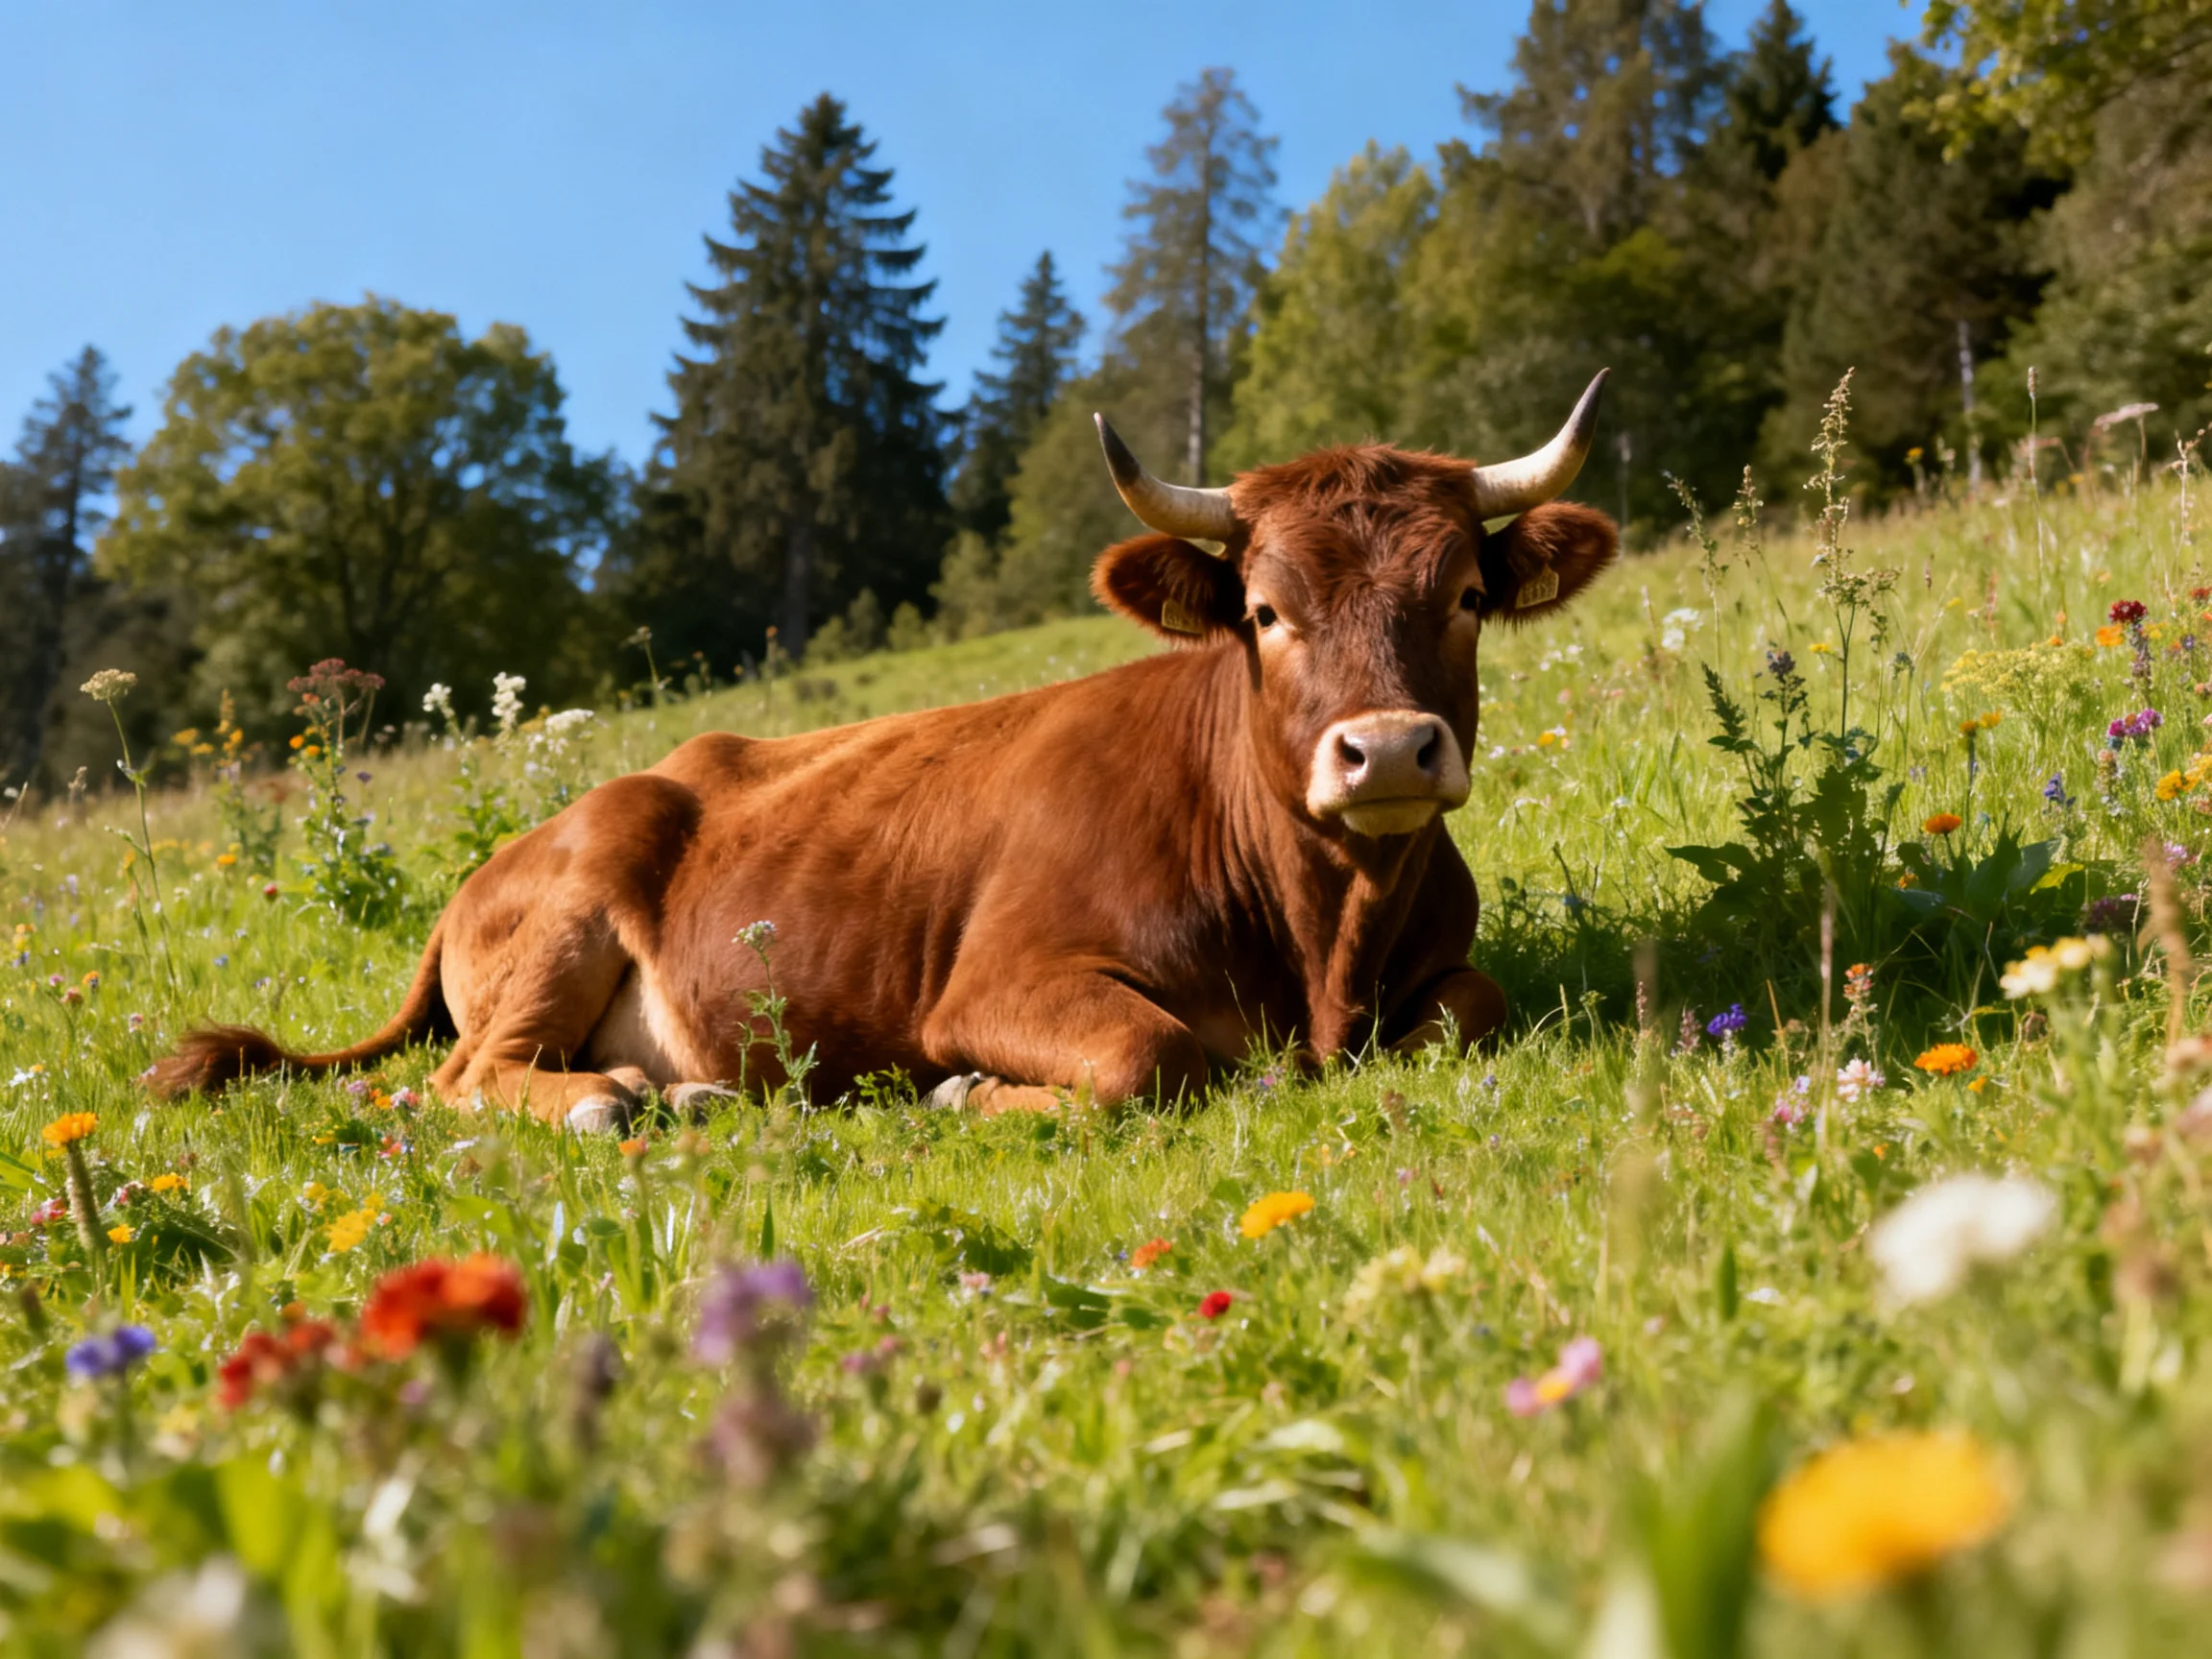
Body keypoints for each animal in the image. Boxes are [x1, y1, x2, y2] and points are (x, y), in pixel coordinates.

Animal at [149, 374, 1619, 1128]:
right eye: (1264, 612)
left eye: (1466, 596)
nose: (1389, 753)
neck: (1326, 940)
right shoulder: (995, 980)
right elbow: (1154, 1059)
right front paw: (967, 1094)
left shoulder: (1436, 973)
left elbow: (1477, 1003)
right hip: (570, 908)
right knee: (466, 1078)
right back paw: (609, 1099)